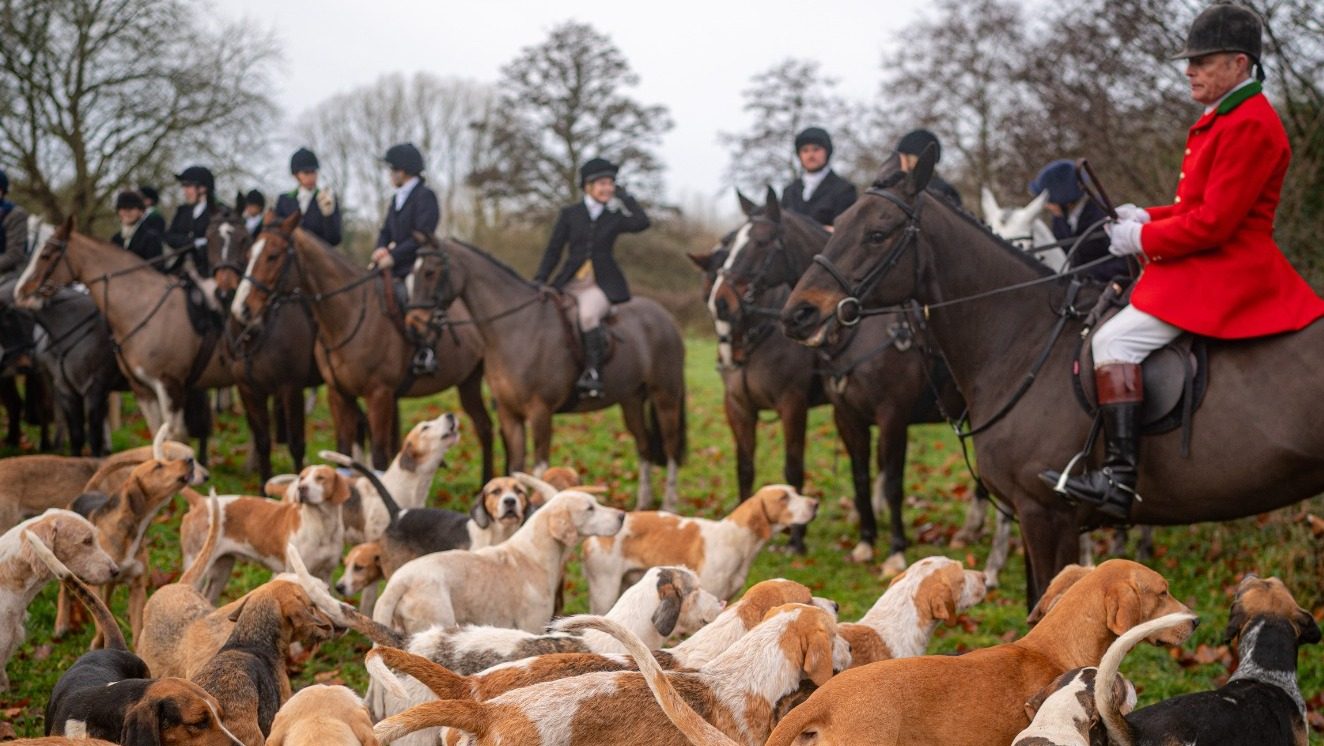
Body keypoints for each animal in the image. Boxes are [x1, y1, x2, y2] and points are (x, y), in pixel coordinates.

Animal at [205, 210, 321, 479]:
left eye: (242, 240)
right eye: (210, 240)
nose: (228, 295)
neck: (254, 332)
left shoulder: (291, 388)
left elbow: (297, 444)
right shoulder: (249, 389)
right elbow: (263, 442)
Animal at [230, 213, 495, 477]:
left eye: (273, 255)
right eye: (248, 254)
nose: (242, 308)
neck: (347, 317)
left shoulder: (377, 395)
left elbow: (378, 456)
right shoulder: (338, 395)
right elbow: (342, 452)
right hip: (468, 382)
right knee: (485, 427)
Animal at [405, 235, 683, 511]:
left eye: (430, 272)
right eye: (411, 273)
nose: (414, 322)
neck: (516, 328)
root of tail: (666, 317)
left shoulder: (540, 411)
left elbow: (539, 471)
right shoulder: (509, 413)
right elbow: (516, 468)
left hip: (665, 398)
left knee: (671, 448)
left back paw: (669, 506)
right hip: (631, 400)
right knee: (644, 445)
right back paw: (643, 505)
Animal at [778, 149, 1324, 604]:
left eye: (878, 232)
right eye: (836, 225)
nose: (798, 315)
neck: (1024, 339)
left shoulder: (1047, 515)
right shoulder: (1027, 513)